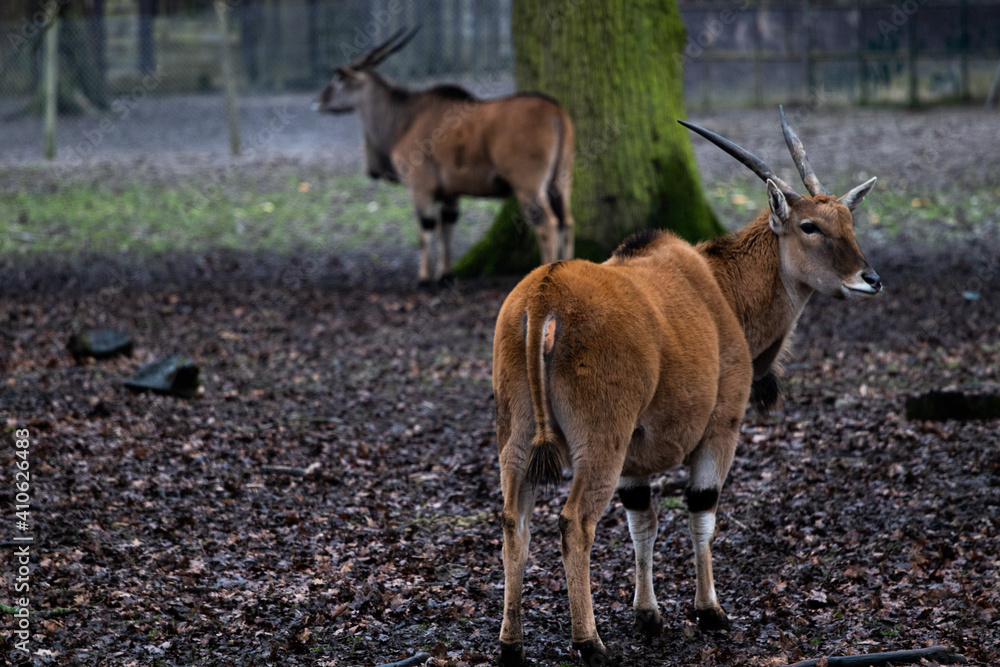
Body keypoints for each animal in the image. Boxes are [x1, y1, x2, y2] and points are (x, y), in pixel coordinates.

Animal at [314, 28, 575, 286]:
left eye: (339, 79)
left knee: (548, 224)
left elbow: (426, 229)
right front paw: (444, 275)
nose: (318, 101)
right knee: (567, 221)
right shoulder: (451, 193)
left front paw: (423, 278)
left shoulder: (420, 187)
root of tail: (556, 111)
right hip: (560, 183)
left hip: (528, 187)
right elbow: (446, 225)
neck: (405, 117)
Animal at [492, 108, 881, 667]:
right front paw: (709, 611)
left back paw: (511, 643)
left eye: (849, 223)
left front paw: (648, 615)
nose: (870, 279)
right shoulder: (721, 429)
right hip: (600, 445)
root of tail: (544, 297)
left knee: (513, 522)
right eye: (810, 226)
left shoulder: (636, 461)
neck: (718, 286)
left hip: (518, 441)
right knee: (575, 523)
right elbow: (702, 513)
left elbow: (643, 522)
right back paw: (590, 643)